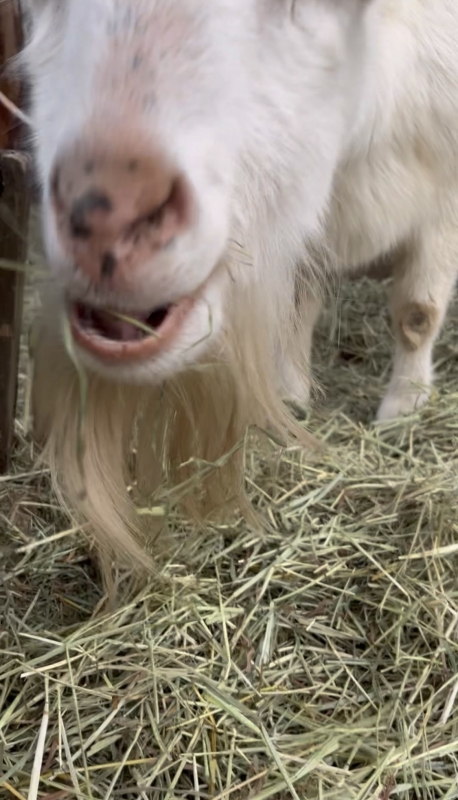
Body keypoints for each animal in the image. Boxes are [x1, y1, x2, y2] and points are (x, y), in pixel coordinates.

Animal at [21, 0, 458, 564]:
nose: (105, 219)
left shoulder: (443, 206)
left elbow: (417, 314)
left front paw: (403, 408)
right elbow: (298, 303)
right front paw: (292, 391)